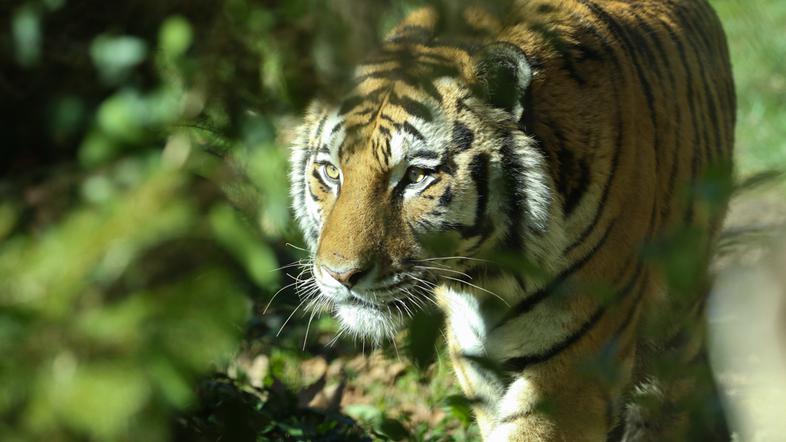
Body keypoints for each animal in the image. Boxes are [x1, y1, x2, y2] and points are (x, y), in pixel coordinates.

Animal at [288, 0, 735, 440]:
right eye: (331, 172)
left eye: (415, 176)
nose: (341, 275)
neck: (487, 277)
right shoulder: (477, 363)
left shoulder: (572, 369)